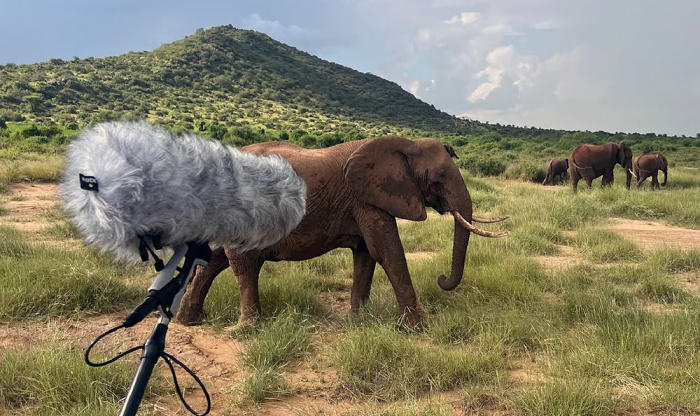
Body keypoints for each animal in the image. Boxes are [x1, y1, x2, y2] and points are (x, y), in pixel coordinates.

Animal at [179, 136, 508, 328]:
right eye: (439, 175)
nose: (442, 279)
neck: (405, 144)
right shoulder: (366, 198)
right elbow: (387, 252)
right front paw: (417, 328)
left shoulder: (365, 200)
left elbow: (366, 255)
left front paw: (359, 320)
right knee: (243, 263)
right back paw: (248, 328)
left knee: (215, 260)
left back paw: (189, 321)